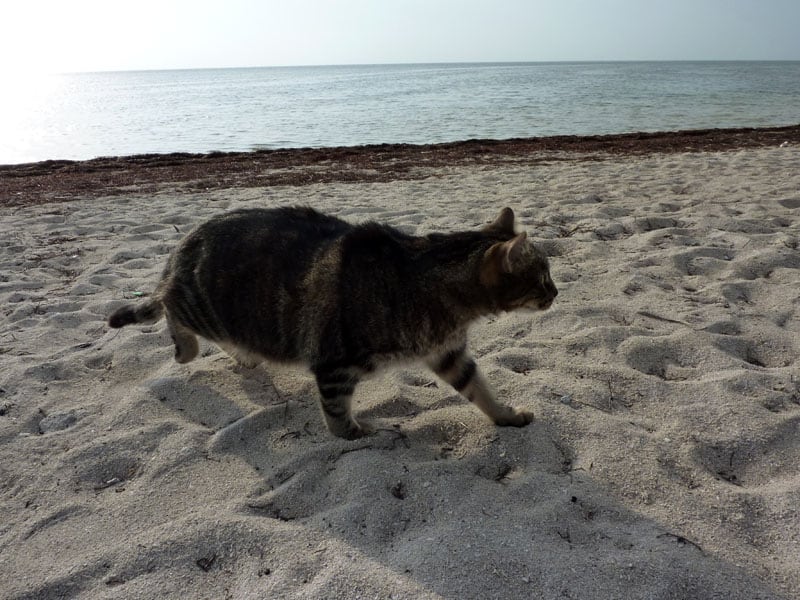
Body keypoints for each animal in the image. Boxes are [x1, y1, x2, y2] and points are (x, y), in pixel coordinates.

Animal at [109, 207, 556, 440]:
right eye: (542, 276)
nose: (556, 293)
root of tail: (183, 243)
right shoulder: (334, 363)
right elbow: (338, 415)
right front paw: (357, 433)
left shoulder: (449, 355)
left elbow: (480, 389)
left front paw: (505, 416)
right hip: (201, 307)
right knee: (168, 309)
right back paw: (185, 349)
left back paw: (244, 355)